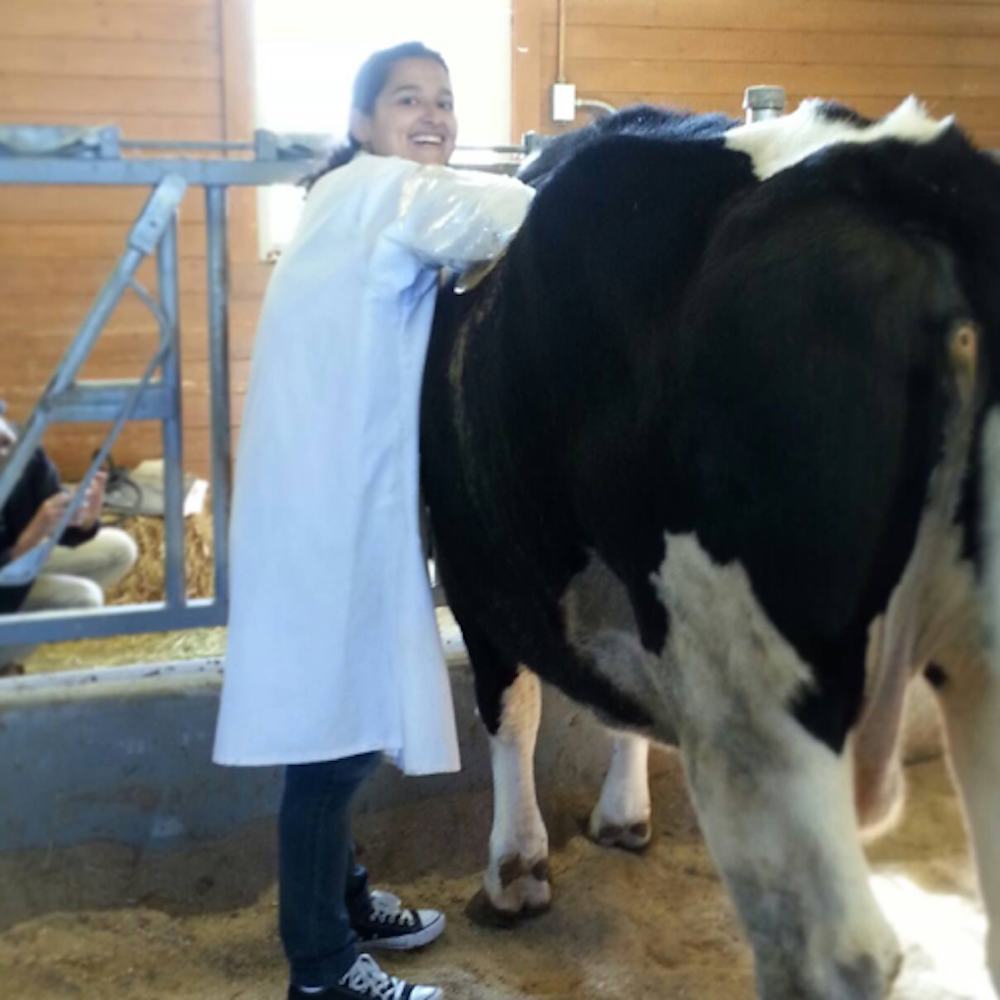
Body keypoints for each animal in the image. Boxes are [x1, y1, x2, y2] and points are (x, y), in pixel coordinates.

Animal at [418, 103, 1000, 1000]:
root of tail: (915, 173)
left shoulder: (479, 576)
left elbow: (511, 712)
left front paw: (514, 873)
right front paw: (623, 818)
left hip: (753, 696)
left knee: (837, 950)